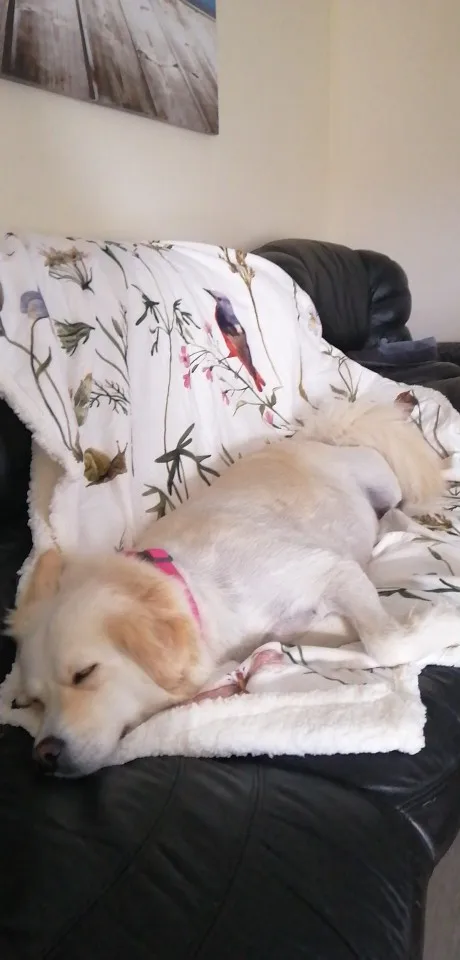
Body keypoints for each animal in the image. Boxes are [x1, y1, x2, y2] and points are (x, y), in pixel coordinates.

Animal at [8, 400, 447, 777]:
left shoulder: (329, 570)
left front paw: (438, 626)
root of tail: (315, 439)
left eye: (84, 673)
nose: (43, 755)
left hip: (384, 484)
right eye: (33, 702)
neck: (191, 588)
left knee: (398, 504)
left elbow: (386, 644)